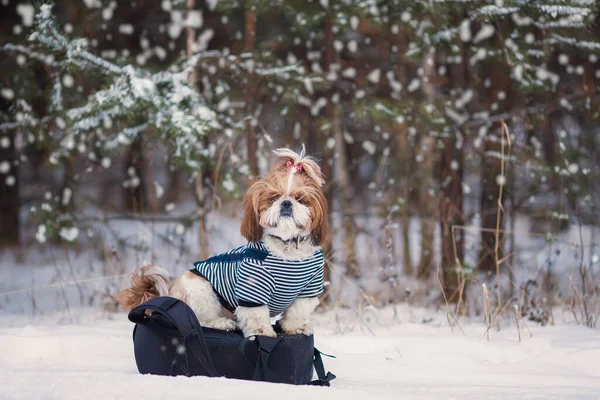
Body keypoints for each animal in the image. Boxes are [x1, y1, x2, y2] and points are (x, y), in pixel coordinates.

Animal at [116, 148, 328, 338]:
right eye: (274, 197)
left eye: (300, 198)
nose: (286, 203)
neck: (286, 248)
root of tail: (169, 293)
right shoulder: (252, 288)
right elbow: (257, 316)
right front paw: (263, 333)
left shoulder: (308, 289)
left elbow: (297, 312)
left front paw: (295, 328)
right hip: (201, 290)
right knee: (201, 319)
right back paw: (222, 323)